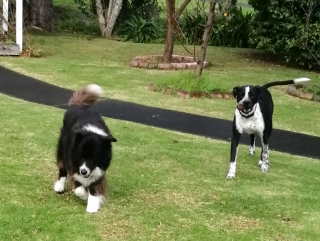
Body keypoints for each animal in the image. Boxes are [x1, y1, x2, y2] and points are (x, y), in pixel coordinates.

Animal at [53, 84, 117, 213]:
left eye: (93, 158)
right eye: (81, 155)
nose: (84, 171)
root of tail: (78, 105)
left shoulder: (100, 170)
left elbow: (94, 187)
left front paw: (92, 205)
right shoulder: (73, 164)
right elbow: (78, 188)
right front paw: (85, 195)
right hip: (62, 150)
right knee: (62, 169)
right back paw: (59, 186)